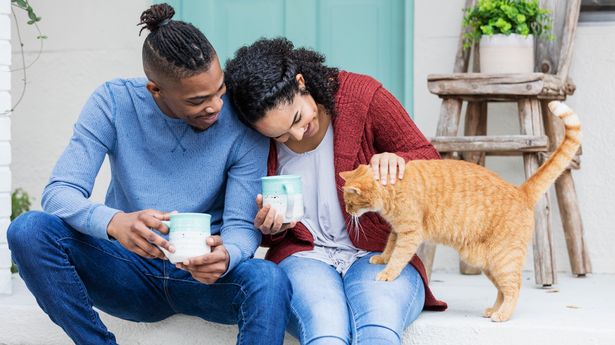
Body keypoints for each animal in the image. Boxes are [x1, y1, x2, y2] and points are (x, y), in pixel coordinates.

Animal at [340, 101, 580, 322]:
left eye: (349, 202)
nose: (348, 211)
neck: (392, 188)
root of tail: (520, 190)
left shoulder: (410, 234)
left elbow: (398, 257)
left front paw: (387, 273)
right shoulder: (397, 230)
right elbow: (389, 248)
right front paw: (381, 259)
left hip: (503, 260)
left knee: (513, 288)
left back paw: (502, 315)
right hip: (490, 265)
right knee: (502, 290)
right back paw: (493, 310)